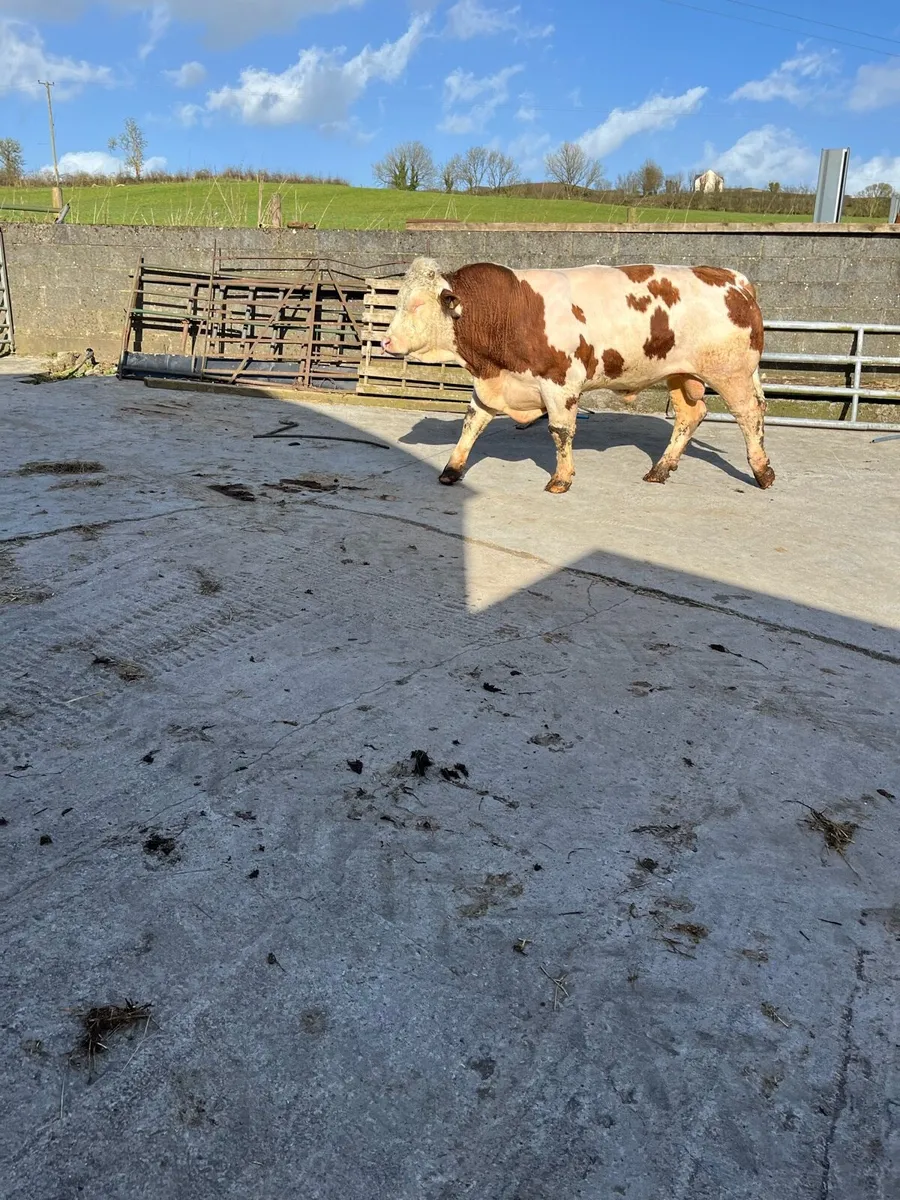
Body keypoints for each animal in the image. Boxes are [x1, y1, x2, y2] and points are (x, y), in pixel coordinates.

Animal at [381, 258, 774, 494]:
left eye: (417, 304)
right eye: (397, 301)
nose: (385, 341)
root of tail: (732, 278)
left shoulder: (560, 382)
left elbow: (561, 431)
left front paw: (561, 478)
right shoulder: (494, 384)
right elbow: (471, 424)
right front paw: (452, 468)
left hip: (732, 373)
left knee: (749, 415)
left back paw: (762, 471)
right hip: (679, 374)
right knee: (690, 415)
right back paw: (661, 468)